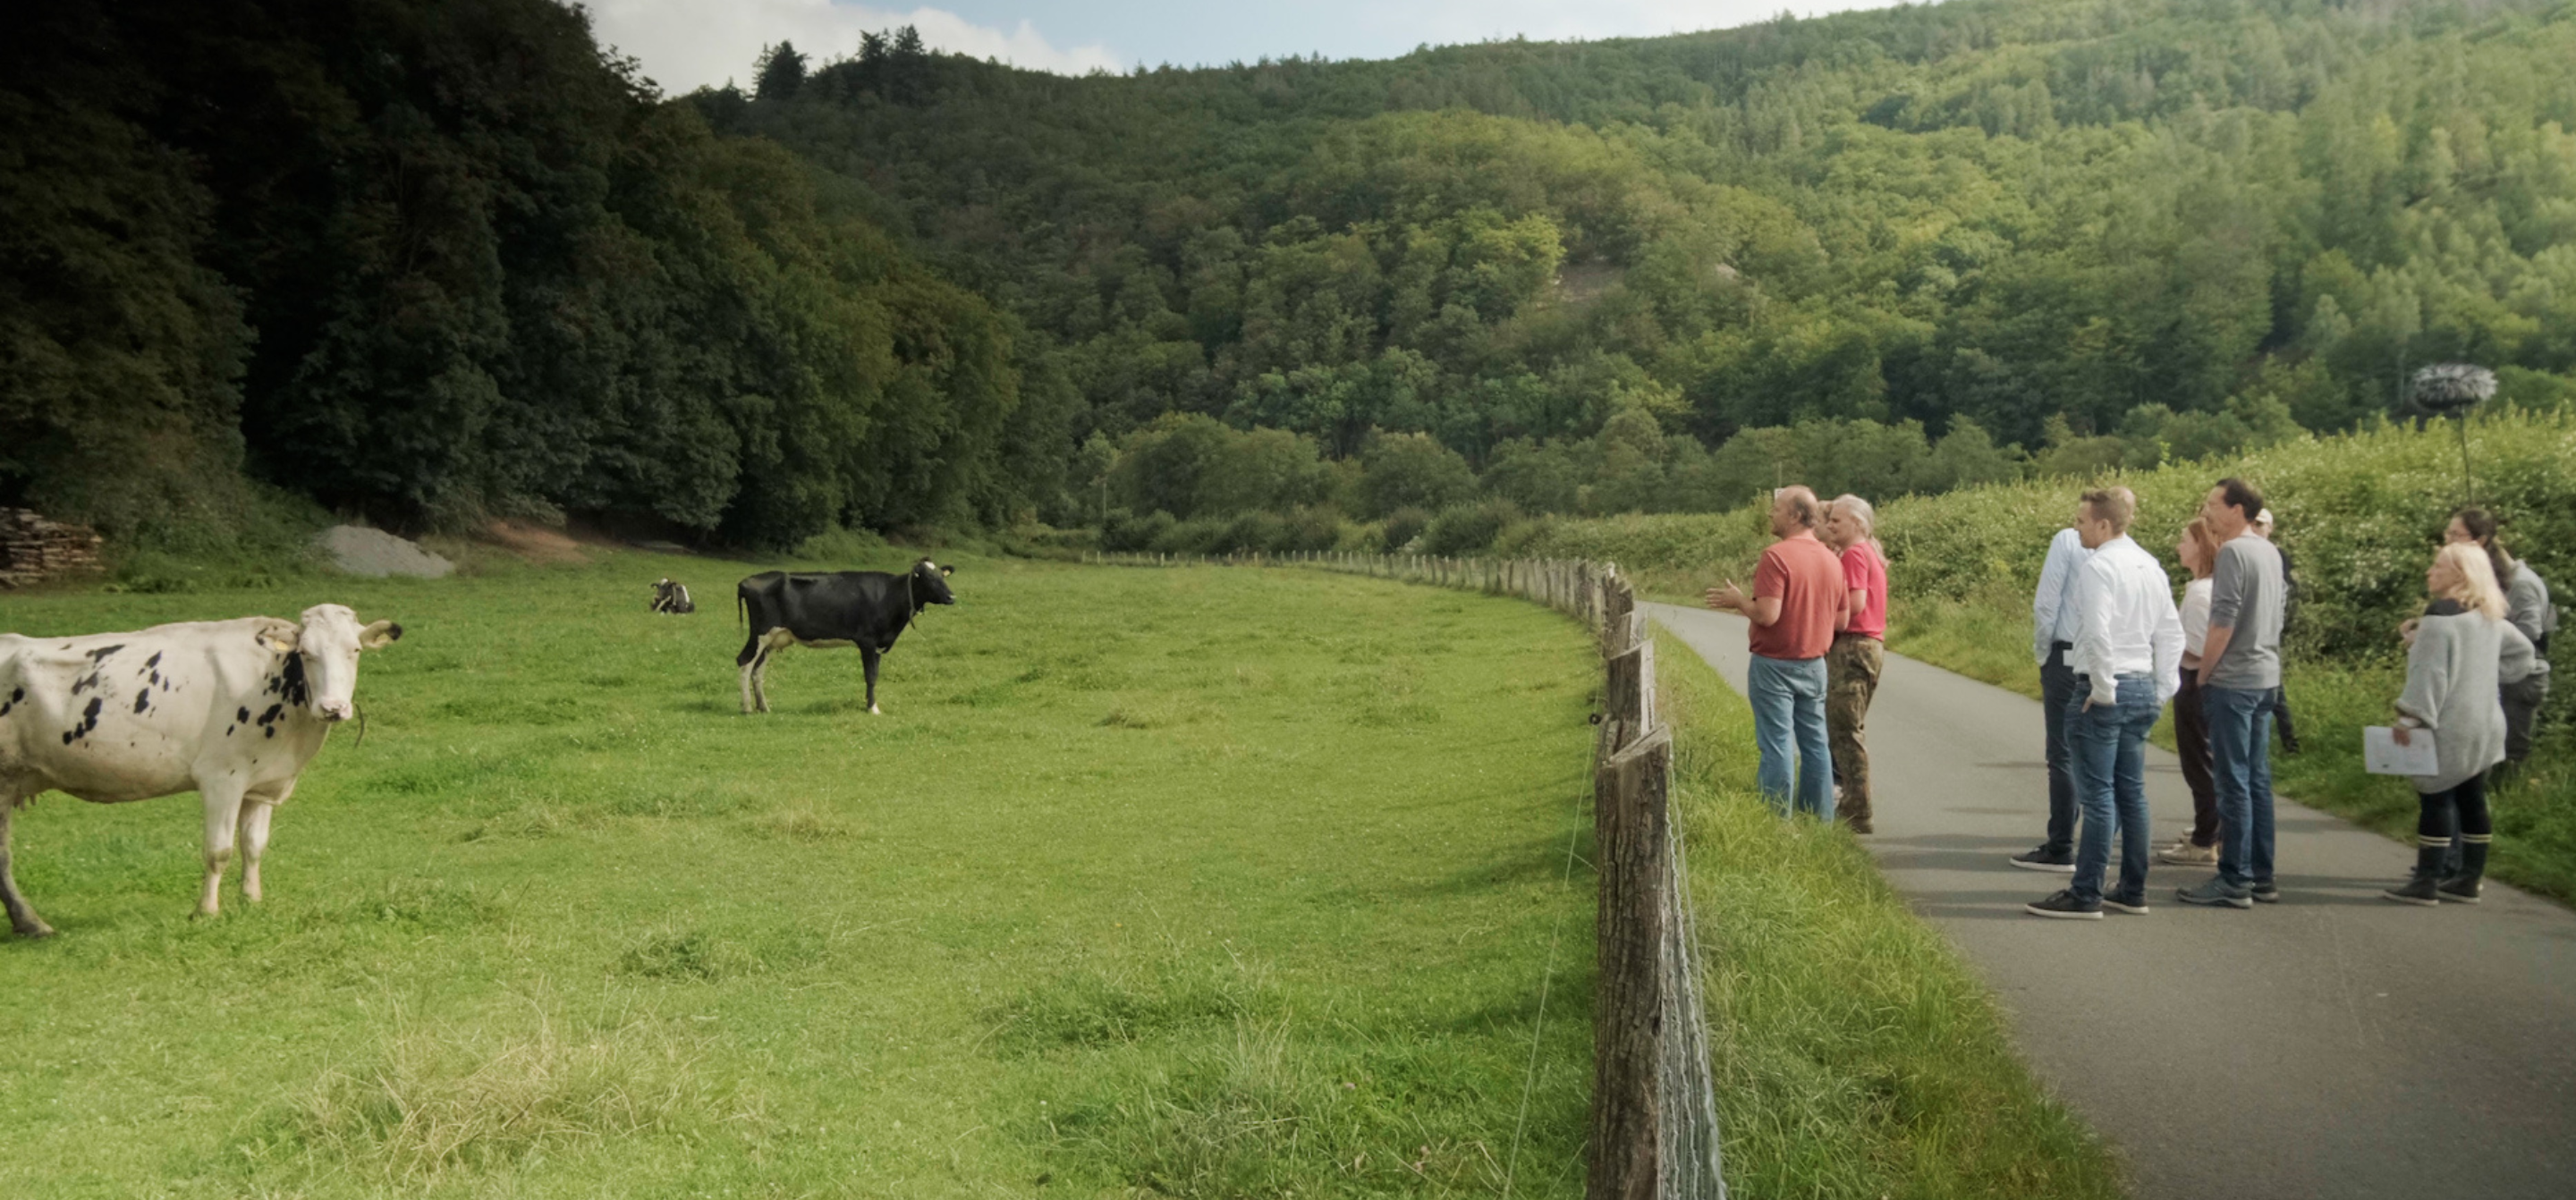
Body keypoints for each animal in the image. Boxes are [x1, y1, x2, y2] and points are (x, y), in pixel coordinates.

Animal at [0, 605, 402, 937]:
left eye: (355, 651)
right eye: (305, 653)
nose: (333, 707)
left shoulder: (261, 784)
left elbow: (254, 846)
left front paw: (251, 900)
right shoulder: (221, 778)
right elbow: (218, 850)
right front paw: (206, 911)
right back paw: (32, 923)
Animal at [737, 558, 955, 715]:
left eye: (942, 576)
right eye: (928, 578)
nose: (952, 597)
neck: (890, 595)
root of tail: (746, 581)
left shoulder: (877, 644)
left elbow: (874, 675)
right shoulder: (867, 641)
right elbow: (870, 676)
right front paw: (872, 708)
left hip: (771, 640)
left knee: (757, 670)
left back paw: (764, 707)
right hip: (760, 633)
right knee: (744, 661)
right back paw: (747, 708)